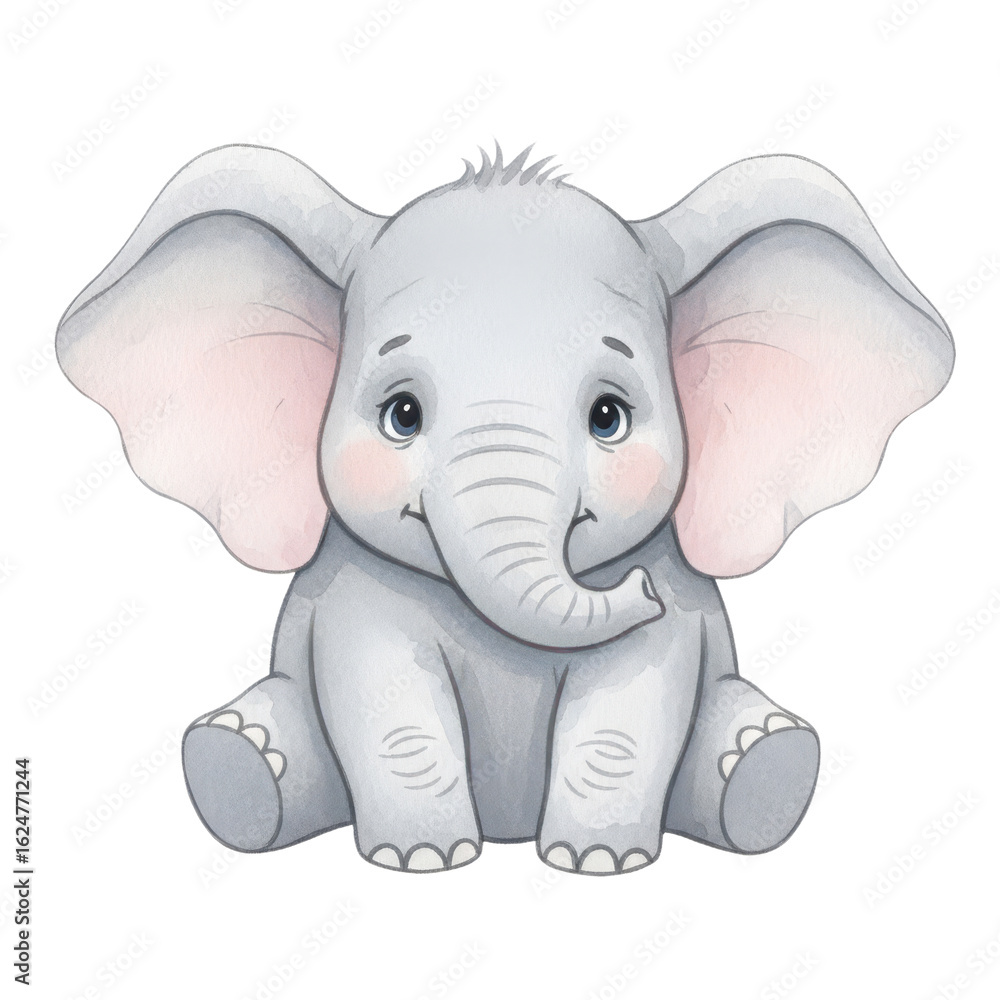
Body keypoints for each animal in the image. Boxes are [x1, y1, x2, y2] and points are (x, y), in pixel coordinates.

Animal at [56, 142, 953, 875]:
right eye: (402, 416)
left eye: (608, 418)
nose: (638, 593)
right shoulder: (362, 593)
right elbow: (388, 700)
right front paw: (423, 859)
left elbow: (630, 703)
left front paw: (597, 863)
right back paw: (235, 763)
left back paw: (768, 768)